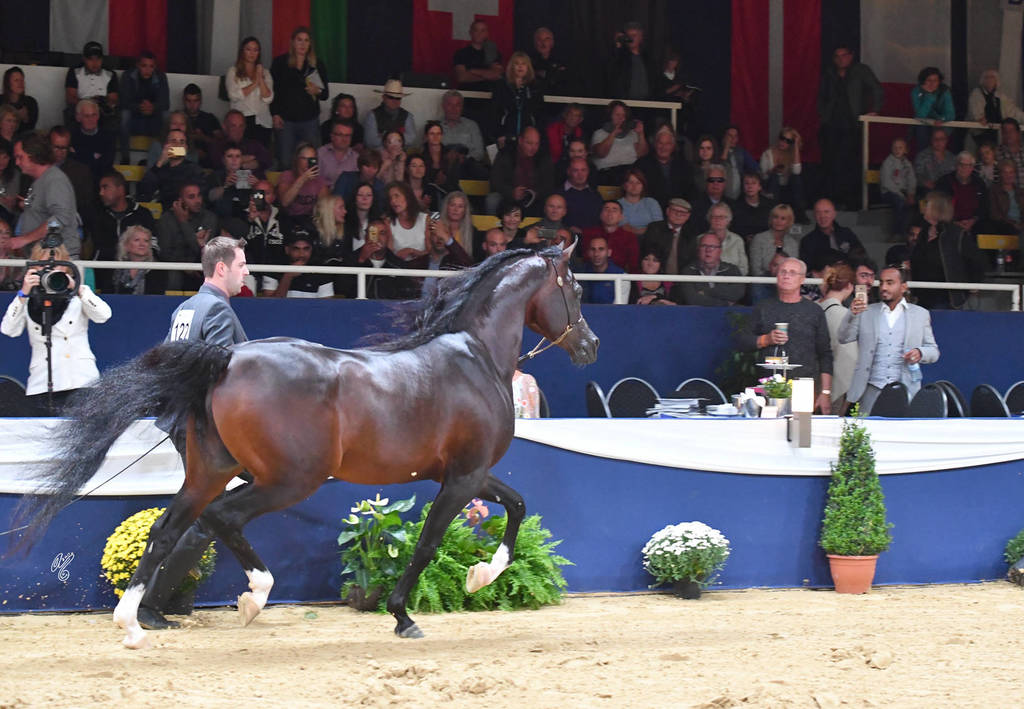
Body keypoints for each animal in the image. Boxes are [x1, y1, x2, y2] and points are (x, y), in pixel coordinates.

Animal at [13, 242, 598, 649]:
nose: (591, 345)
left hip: (210, 471)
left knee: (168, 529)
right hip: (290, 479)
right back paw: (253, 597)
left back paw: (135, 623)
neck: (474, 357)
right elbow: (431, 541)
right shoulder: (463, 477)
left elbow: (517, 505)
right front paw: (406, 615)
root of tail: (227, 358)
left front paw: (479, 577)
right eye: (574, 287)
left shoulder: (462, 474)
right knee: (221, 519)